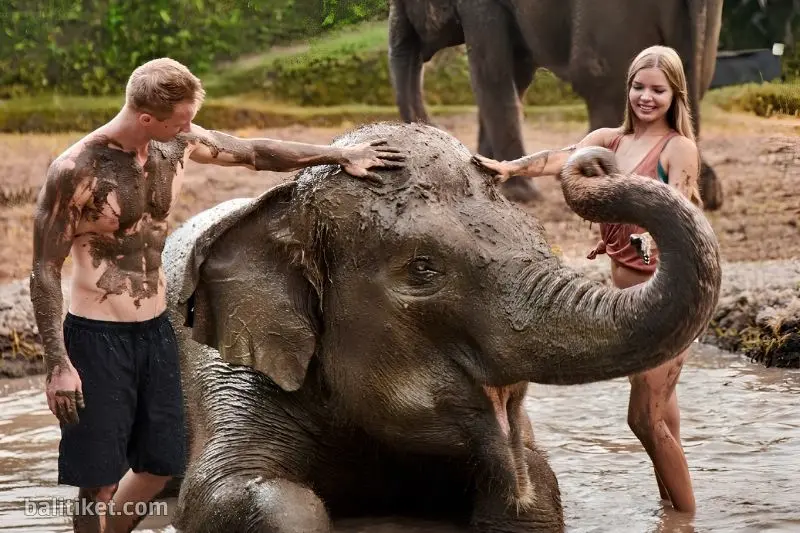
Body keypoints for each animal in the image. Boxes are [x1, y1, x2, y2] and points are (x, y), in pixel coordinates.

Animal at [161, 121, 721, 532]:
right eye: (423, 269)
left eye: (538, 236)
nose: (594, 160)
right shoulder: (227, 371)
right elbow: (233, 495)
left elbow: (536, 486)